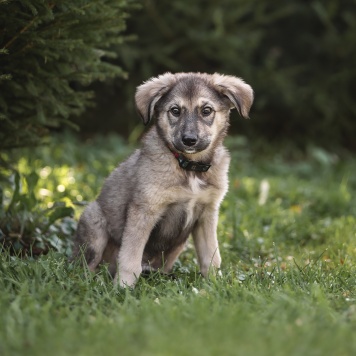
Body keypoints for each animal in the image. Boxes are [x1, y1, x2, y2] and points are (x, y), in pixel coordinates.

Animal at [72, 71, 253, 286]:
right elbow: (129, 258)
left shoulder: (207, 214)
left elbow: (211, 256)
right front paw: (123, 287)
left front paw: (215, 284)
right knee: (86, 266)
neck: (189, 168)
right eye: (175, 110)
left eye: (207, 110)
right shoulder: (144, 211)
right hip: (94, 220)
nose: (189, 140)